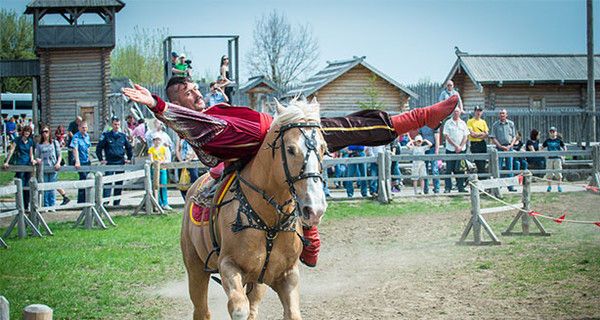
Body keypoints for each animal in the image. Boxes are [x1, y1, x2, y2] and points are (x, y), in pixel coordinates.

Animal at [180, 98, 328, 320]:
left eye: (323, 148)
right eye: (291, 149)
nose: (315, 208)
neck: (269, 223)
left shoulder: (287, 275)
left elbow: (291, 313)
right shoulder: (228, 266)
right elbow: (239, 309)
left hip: (257, 281)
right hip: (195, 269)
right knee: (202, 310)